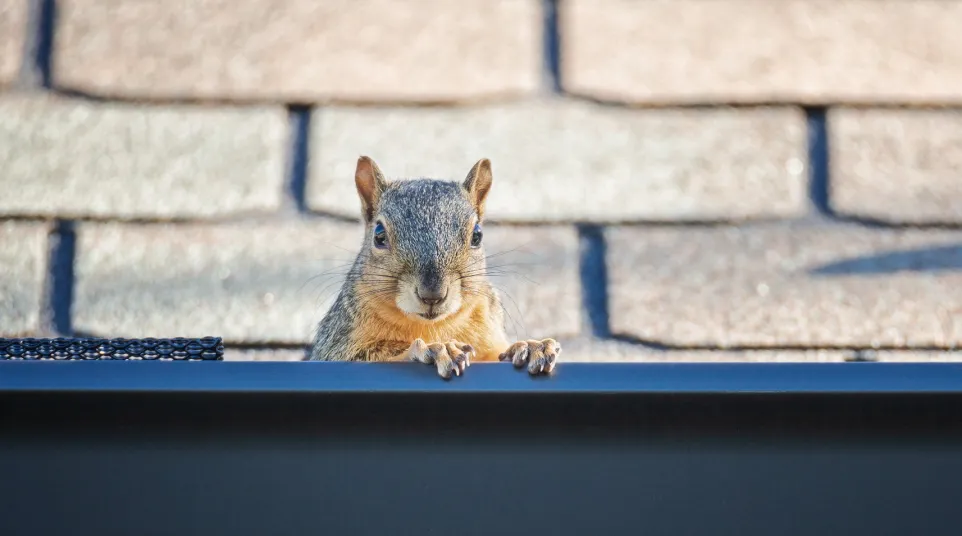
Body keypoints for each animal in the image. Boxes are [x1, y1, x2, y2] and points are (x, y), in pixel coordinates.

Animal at [308, 157, 560, 378]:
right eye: (379, 235)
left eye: (477, 235)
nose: (432, 295)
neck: (433, 326)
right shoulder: (336, 346)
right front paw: (434, 349)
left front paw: (528, 347)